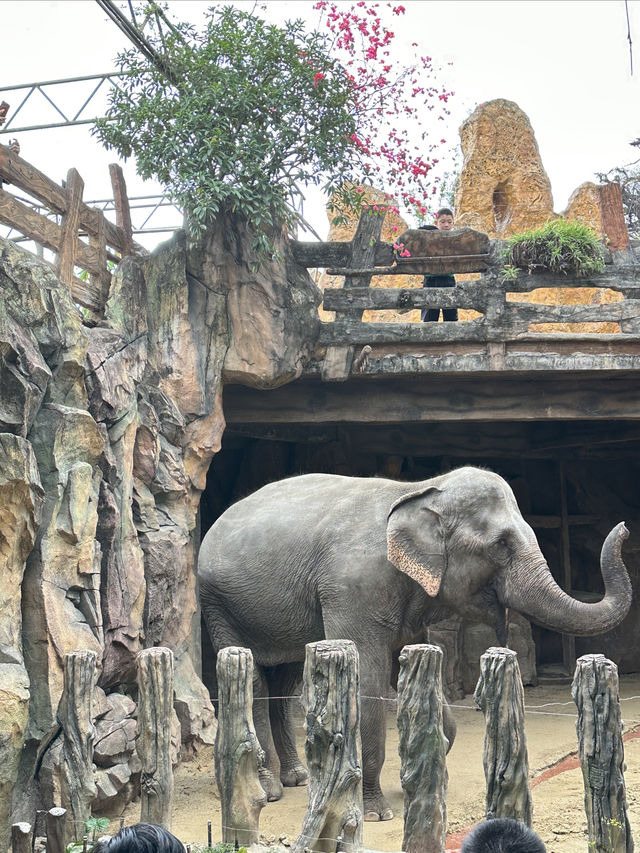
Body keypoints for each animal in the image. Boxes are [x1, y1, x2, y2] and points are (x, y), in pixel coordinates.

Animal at [199, 466, 632, 820]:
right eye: (501, 545)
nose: (625, 528)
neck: (421, 490)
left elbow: (418, 670)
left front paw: (434, 757)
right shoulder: (352, 592)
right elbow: (369, 680)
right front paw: (376, 812)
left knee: (285, 679)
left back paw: (298, 778)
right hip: (217, 603)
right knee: (254, 678)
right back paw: (269, 788)